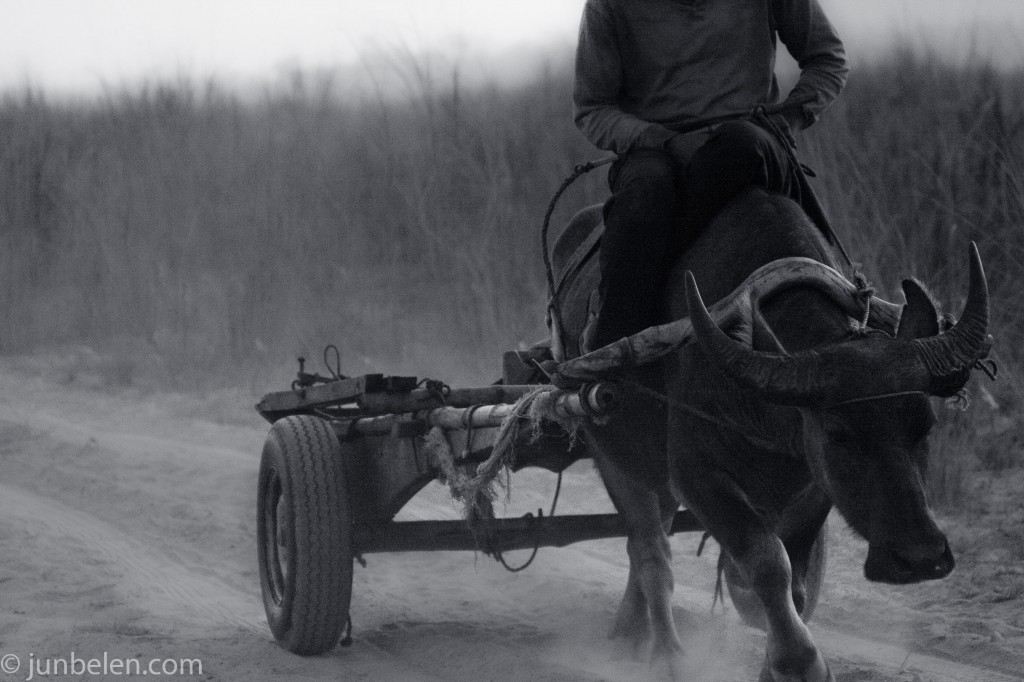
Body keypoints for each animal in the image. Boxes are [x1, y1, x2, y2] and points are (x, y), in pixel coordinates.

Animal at [552, 186, 991, 679]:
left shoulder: (811, 493)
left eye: (925, 426)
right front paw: (799, 662)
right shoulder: (697, 476)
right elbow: (766, 562)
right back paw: (667, 653)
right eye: (838, 433)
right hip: (613, 458)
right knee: (651, 552)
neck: (769, 416)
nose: (919, 558)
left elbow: (794, 585)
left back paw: (630, 633)